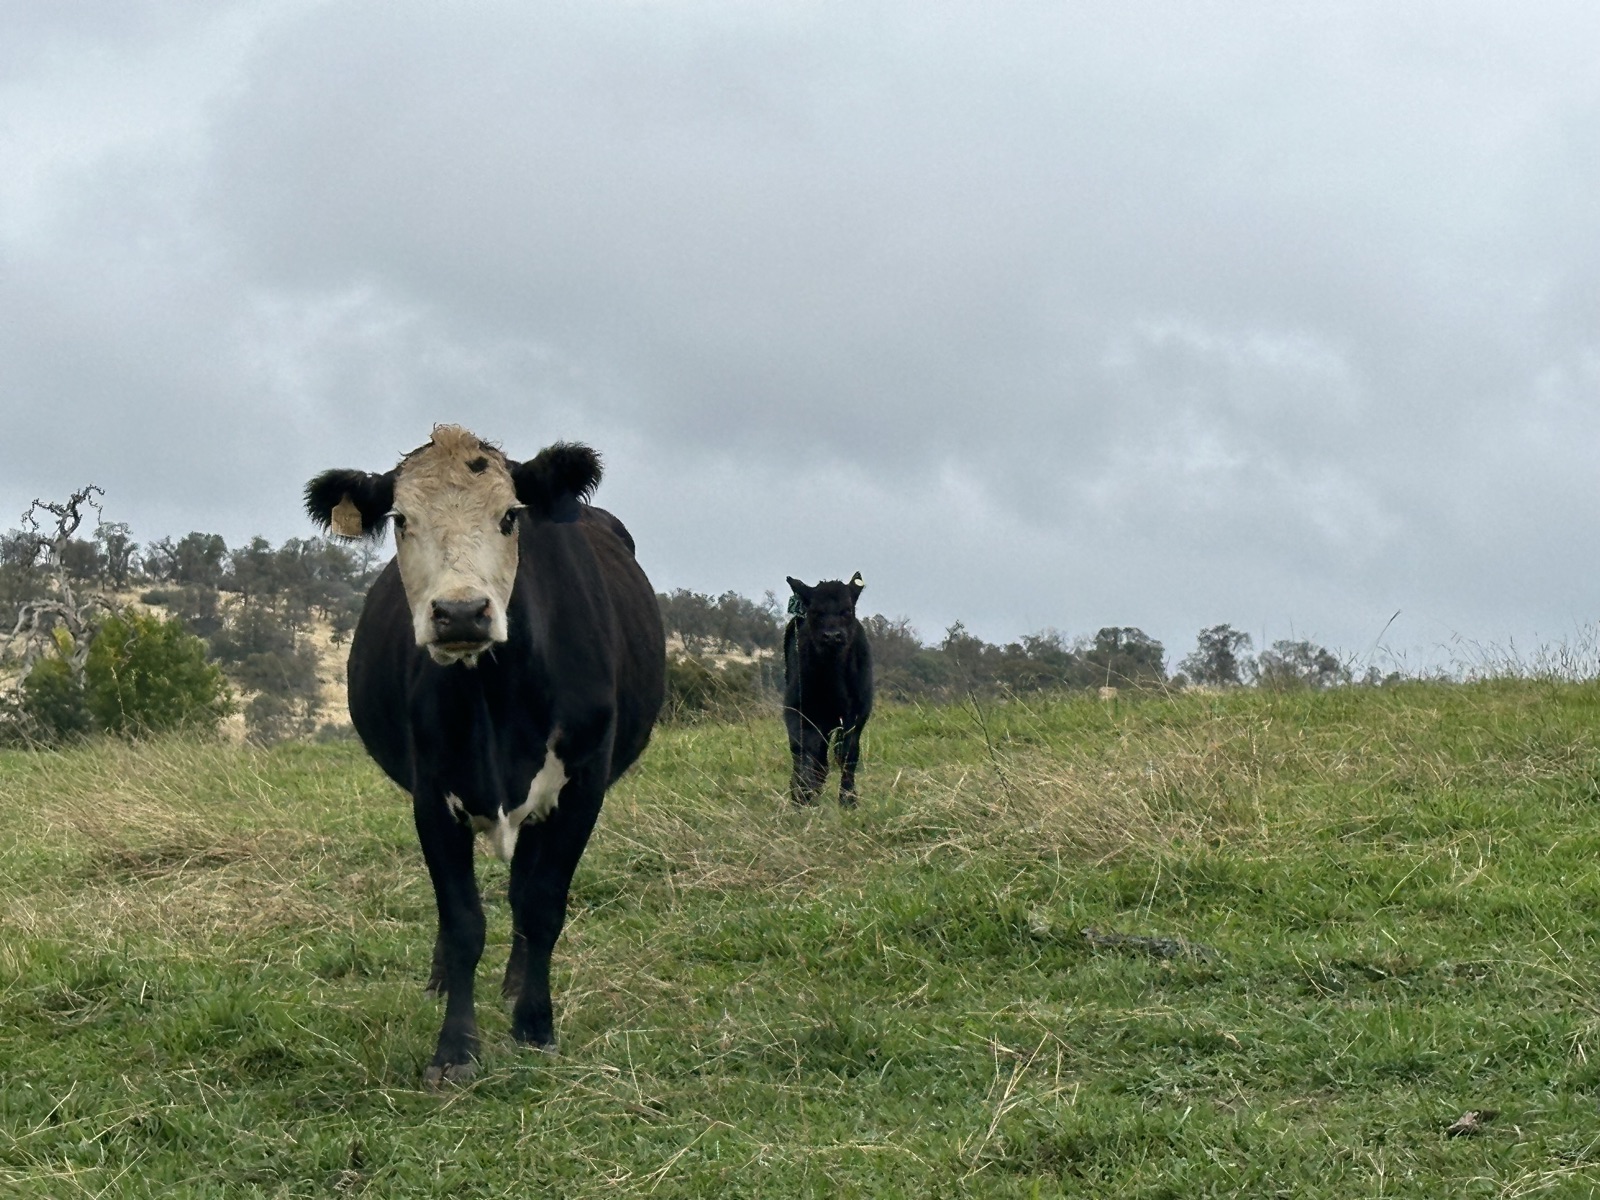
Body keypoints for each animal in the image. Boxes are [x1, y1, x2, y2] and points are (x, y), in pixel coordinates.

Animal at [304, 425, 665, 1086]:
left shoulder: (582, 786)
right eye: (401, 520)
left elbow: (542, 904)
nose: (461, 613)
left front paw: (535, 1027)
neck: (495, 697)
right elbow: (463, 919)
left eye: (509, 517)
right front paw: (454, 1049)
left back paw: (517, 984)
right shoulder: (431, 794)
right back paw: (443, 981)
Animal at [783, 572, 873, 808]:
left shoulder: (858, 713)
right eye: (815, 612)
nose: (832, 635)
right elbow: (804, 749)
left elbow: (848, 753)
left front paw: (848, 799)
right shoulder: (797, 710)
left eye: (847, 610)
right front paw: (802, 793)